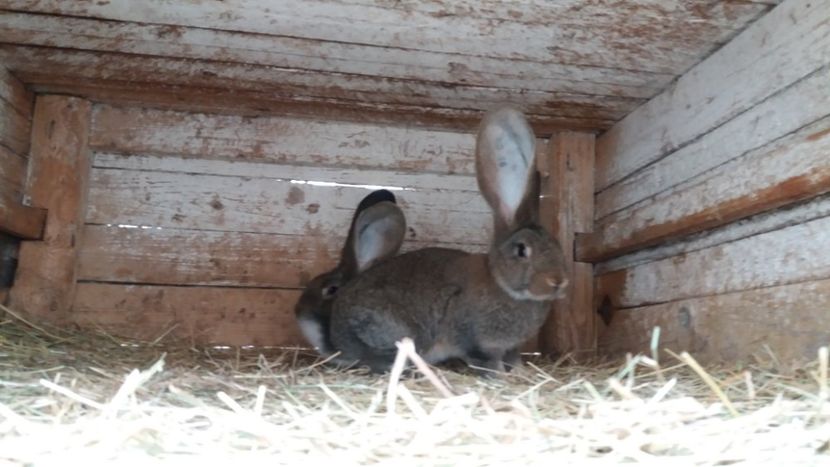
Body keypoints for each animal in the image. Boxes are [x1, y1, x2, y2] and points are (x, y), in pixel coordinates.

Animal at [332, 108, 572, 374]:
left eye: (557, 245)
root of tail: (337, 333)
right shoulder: (472, 338)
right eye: (521, 250)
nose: (557, 281)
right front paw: (498, 375)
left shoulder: (510, 347)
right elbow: (484, 359)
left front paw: (517, 372)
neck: (502, 284)